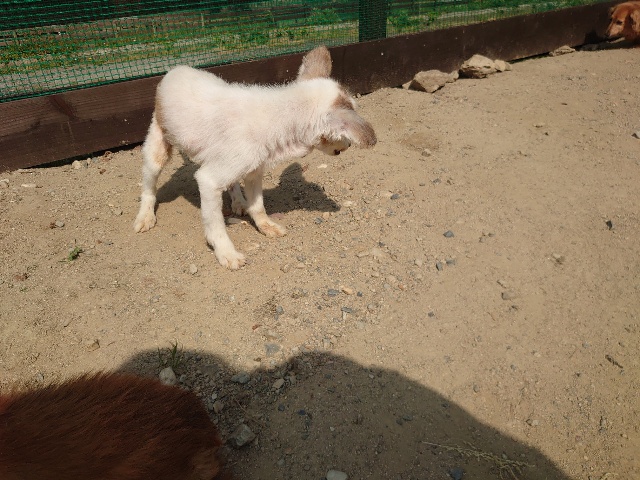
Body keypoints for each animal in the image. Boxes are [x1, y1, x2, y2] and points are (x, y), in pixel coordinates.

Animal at [134, 46, 377, 269]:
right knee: (148, 188)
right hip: (158, 149)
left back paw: (238, 201)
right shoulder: (208, 181)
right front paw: (226, 252)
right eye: (346, 135)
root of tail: (176, 69)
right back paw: (145, 216)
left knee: (232, 184)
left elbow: (258, 206)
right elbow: (215, 225)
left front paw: (265, 225)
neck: (281, 119)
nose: (348, 145)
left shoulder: (253, 172)